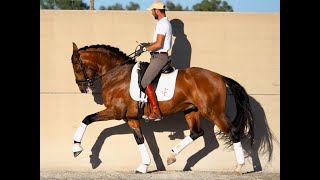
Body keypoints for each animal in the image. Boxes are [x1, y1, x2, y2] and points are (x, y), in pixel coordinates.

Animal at [70, 42, 255, 174]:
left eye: (76, 66)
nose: (82, 87)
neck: (117, 75)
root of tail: (219, 76)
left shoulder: (116, 112)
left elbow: (88, 120)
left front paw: (77, 149)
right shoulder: (131, 117)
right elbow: (139, 139)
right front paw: (144, 166)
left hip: (213, 112)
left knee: (233, 132)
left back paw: (239, 167)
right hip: (191, 110)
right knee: (196, 132)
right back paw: (172, 156)